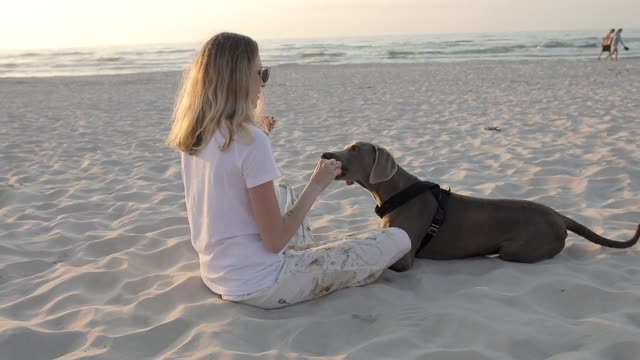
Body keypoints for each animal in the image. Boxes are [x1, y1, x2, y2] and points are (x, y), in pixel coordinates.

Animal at [322, 142, 636, 272]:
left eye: (354, 148)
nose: (324, 153)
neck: (396, 192)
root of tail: (558, 215)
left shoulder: (405, 257)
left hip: (516, 250)